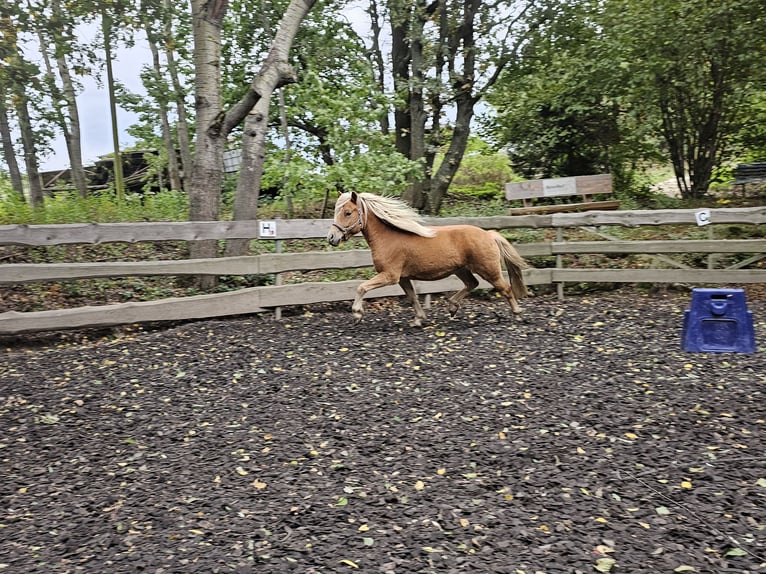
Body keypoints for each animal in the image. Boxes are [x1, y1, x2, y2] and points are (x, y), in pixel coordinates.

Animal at [328, 192, 532, 326]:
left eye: (348, 212)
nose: (331, 238)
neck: (388, 238)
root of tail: (489, 234)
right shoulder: (403, 278)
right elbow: (412, 298)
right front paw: (418, 320)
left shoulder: (390, 276)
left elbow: (361, 287)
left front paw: (357, 314)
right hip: (462, 269)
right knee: (472, 284)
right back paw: (452, 307)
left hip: (489, 270)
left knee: (506, 289)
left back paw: (518, 314)